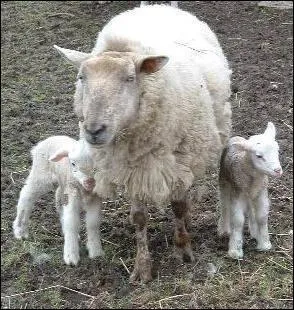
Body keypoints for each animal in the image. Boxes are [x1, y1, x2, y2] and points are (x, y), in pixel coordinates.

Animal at [12, 134, 104, 266]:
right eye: (73, 163)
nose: (90, 182)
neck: (85, 189)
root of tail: (50, 138)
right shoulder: (72, 194)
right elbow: (72, 222)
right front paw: (71, 257)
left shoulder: (95, 198)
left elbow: (93, 222)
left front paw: (96, 252)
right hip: (40, 175)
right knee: (26, 196)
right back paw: (20, 231)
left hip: (62, 182)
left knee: (58, 197)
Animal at [52, 3, 232, 284]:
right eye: (82, 78)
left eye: (129, 78)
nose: (94, 130)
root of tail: (158, 6)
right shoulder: (130, 169)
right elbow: (139, 218)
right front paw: (142, 267)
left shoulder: (179, 162)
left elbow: (178, 206)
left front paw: (183, 249)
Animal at [218, 121, 282, 260]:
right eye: (259, 156)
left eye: (277, 150)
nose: (277, 170)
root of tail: (236, 137)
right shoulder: (237, 194)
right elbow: (238, 221)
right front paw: (235, 251)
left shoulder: (261, 193)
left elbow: (262, 217)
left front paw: (264, 244)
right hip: (224, 182)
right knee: (224, 205)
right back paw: (224, 230)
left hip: (251, 195)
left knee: (251, 210)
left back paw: (254, 232)